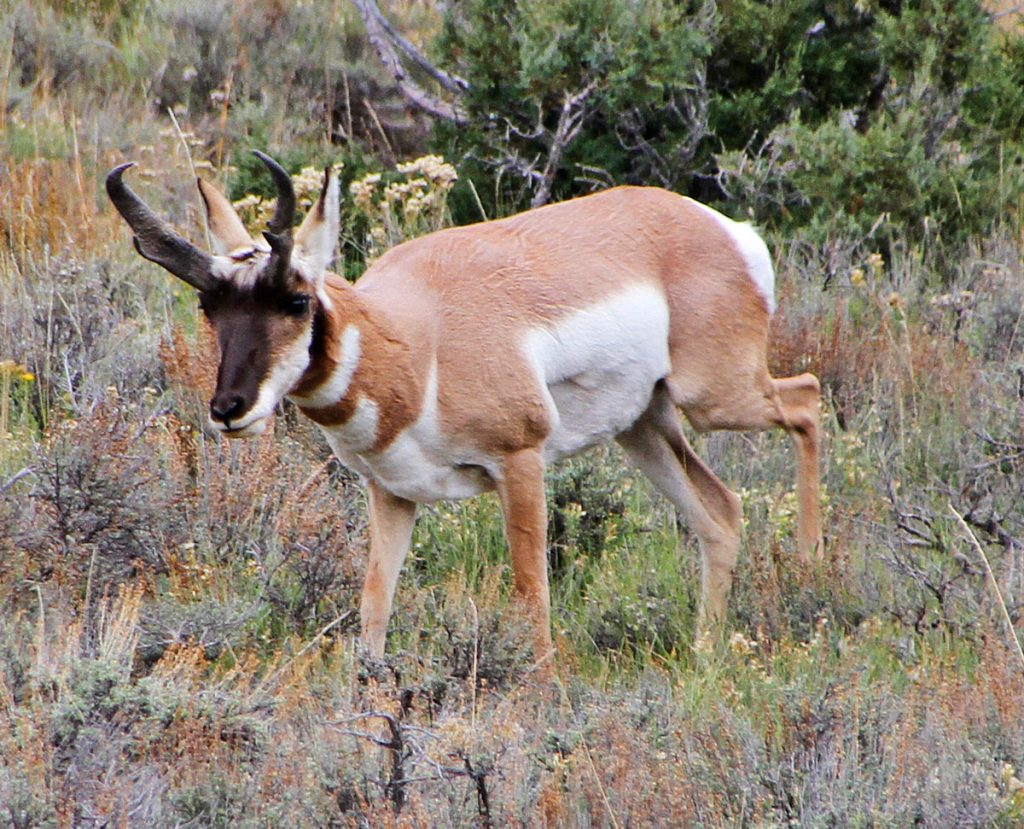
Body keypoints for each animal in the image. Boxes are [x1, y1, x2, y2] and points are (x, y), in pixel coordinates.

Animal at [105, 150, 823, 667]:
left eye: (296, 298)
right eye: (210, 305)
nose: (229, 408)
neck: (419, 339)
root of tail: (724, 228)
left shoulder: (521, 463)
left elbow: (531, 600)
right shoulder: (393, 496)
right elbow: (373, 611)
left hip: (715, 397)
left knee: (808, 399)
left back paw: (811, 568)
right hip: (645, 427)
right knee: (720, 511)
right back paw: (706, 654)